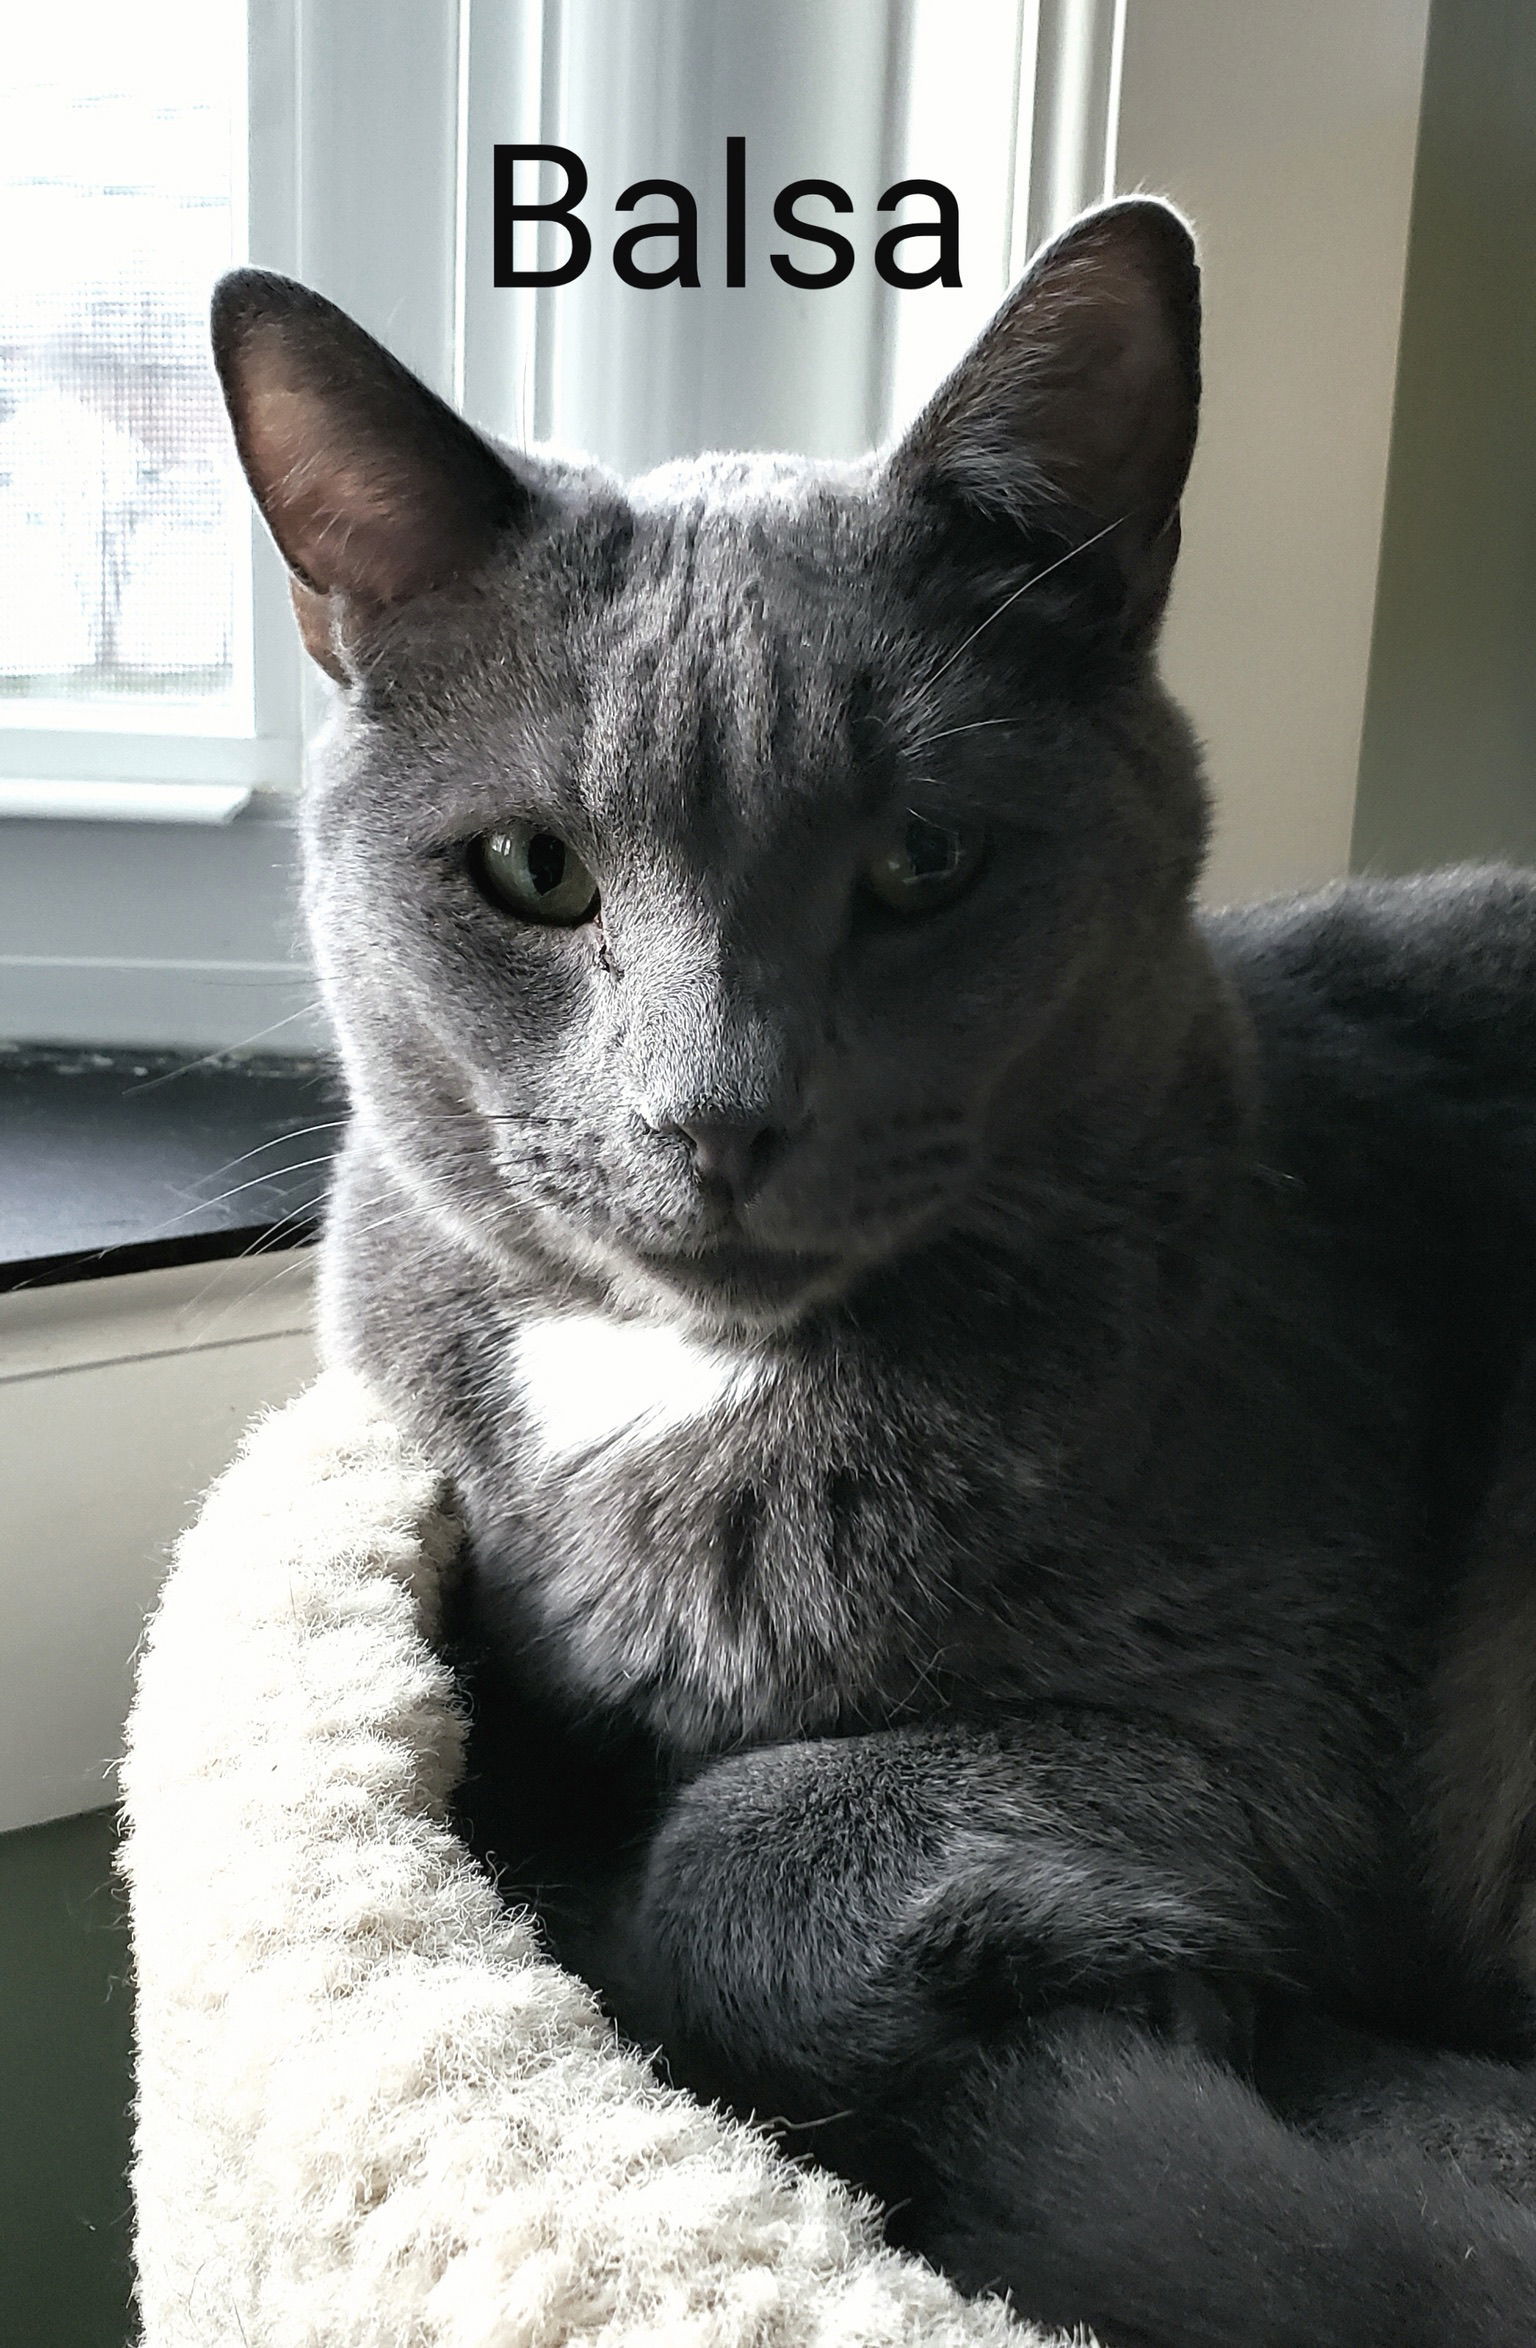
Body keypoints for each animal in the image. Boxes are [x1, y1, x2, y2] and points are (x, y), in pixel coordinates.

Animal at [216, 206, 1536, 2348]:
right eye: (532, 871)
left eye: (923, 860)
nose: (713, 1111)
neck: (688, 1390)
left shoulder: (1282, 1736)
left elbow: (749, 1826)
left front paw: (1135, 1997)